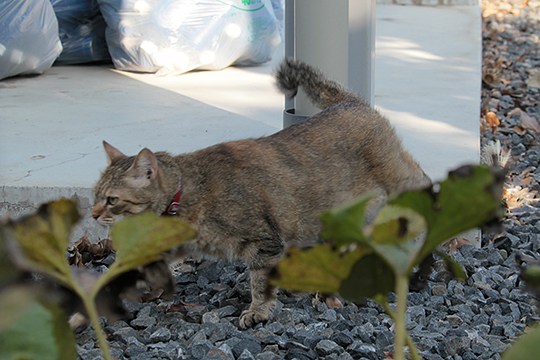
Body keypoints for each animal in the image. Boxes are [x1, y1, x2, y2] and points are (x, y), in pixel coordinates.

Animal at [93, 57, 430, 330]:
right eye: (95, 195)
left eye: (112, 199)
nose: (94, 214)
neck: (186, 189)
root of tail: (351, 102)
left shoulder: (262, 244)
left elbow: (260, 282)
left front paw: (258, 311)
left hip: (398, 180)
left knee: (422, 181)